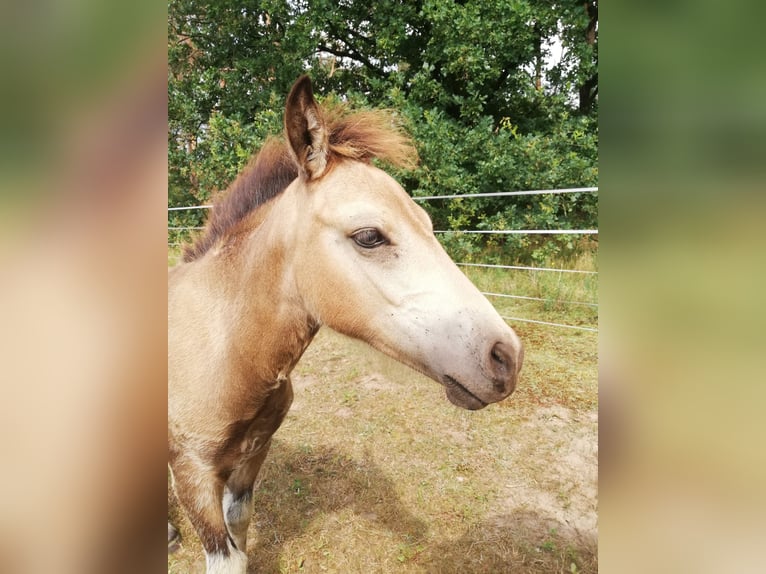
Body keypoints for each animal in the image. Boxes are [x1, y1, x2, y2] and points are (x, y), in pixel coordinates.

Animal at [169, 76, 524, 574]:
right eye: (369, 236)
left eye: (427, 223)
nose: (507, 357)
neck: (222, 349)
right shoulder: (193, 476)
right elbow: (228, 558)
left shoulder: (253, 453)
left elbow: (241, 527)